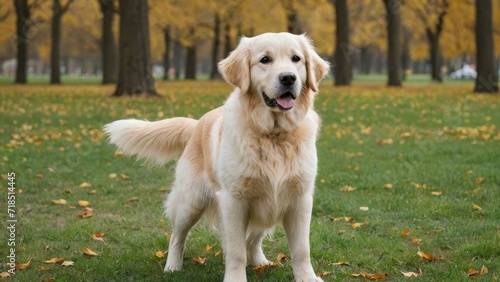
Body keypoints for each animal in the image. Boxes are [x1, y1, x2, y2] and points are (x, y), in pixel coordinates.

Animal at [104, 32, 330, 280]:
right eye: (265, 60)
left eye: (296, 59)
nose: (288, 78)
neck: (273, 135)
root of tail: (196, 124)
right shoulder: (233, 199)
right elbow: (236, 251)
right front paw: (235, 278)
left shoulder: (300, 198)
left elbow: (301, 249)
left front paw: (307, 278)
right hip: (190, 201)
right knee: (177, 236)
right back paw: (173, 266)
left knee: (254, 239)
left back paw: (261, 261)